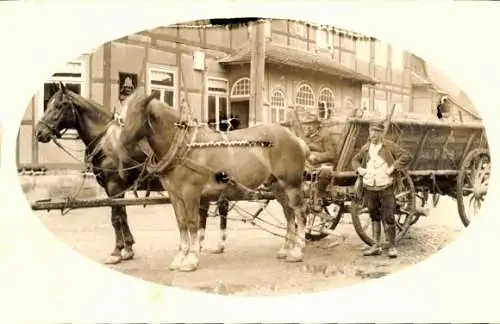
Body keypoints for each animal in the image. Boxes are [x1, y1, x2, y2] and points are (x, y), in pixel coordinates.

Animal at [33, 81, 232, 264]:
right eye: (48, 103)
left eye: (59, 106)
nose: (39, 133)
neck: (107, 143)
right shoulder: (113, 188)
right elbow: (122, 216)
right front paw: (128, 248)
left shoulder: (114, 186)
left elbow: (115, 218)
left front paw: (117, 251)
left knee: (220, 208)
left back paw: (218, 244)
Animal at [114, 91, 308, 274]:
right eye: (120, 116)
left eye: (134, 113)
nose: (118, 147)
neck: (183, 147)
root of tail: (294, 137)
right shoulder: (175, 195)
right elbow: (181, 223)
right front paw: (180, 257)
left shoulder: (191, 192)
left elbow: (193, 223)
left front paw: (191, 259)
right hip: (276, 185)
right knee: (289, 213)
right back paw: (286, 249)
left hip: (292, 184)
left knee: (300, 214)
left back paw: (297, 251)